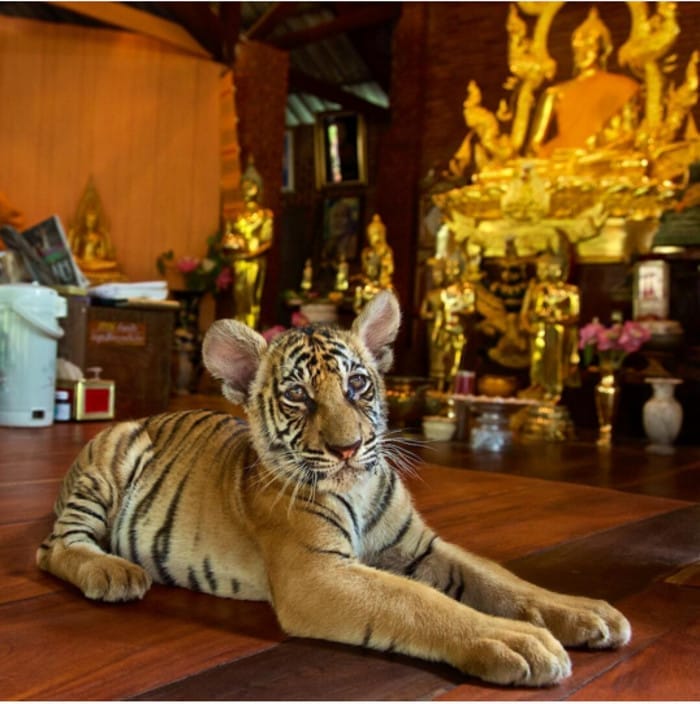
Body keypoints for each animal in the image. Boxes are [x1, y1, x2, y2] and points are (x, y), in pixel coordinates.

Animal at [36, 290, 630, 687]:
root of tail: (144, 416)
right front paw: (517, 640)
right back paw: (114, 572)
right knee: (56, 546)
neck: (360, 491)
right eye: (298, 396)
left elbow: (501, 579)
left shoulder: (422, 546)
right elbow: (418, 602)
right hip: (109, 465)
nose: (348, 449)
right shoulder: (316, 572)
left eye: (358, 384)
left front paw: (586, 612)